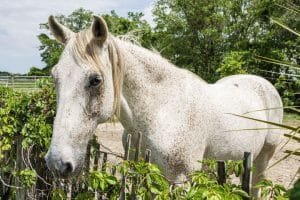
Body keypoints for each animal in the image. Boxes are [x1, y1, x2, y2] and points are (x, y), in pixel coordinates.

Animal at [45, 15, 282, 195]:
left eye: (95, 80)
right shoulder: (149, 177)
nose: (57, 163)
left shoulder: (180, 180)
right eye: (55, 77)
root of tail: (264, 83)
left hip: (263, 159)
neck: (163, 110)